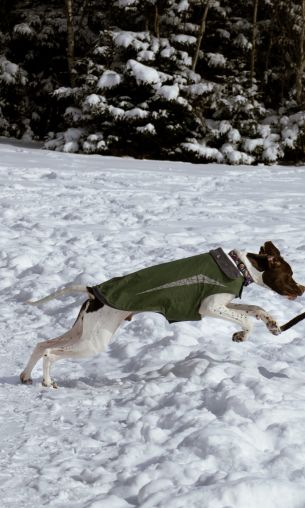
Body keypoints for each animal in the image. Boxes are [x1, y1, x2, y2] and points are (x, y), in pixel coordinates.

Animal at [20, 242, 302, 388]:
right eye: (289, 275)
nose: (302, 289)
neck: (239, 266)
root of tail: (93, 291)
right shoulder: (209, 307)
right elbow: (246, 320)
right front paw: (241, 335)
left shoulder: (226, 304)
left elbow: (255, 309)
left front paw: (272, 323)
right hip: (93, 342)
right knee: (50, 353)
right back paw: (47, 382)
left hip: (81, 332)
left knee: (41, 344)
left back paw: (25, 376)